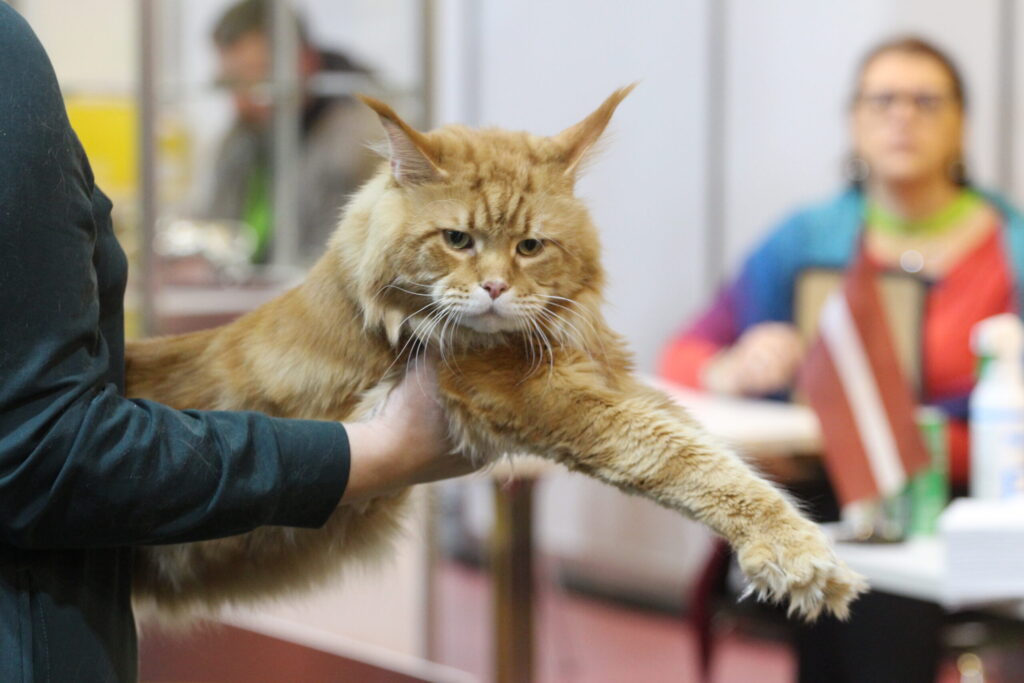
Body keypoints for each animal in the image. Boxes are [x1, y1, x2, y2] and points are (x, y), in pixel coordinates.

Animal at [126, 85, 867, 622]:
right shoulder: (536, 393)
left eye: (530, 246)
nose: (493, 288)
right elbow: (685, 459)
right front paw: (802, 558)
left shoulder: (607, 377)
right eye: (457, 239)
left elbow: (715, 448)